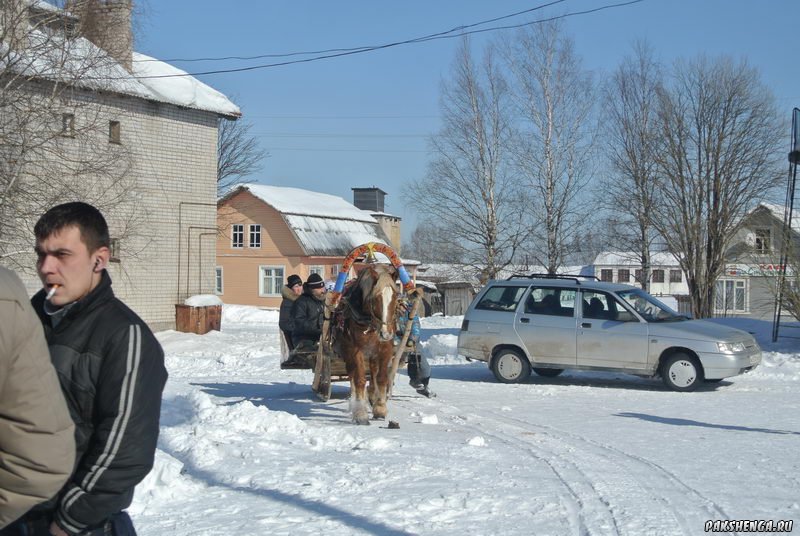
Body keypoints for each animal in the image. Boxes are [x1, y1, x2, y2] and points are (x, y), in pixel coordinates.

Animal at [332, 262, 396, 422]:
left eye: (395, 296)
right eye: (376, 298)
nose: (386, 333)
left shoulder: (386, 348)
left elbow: (381, 378)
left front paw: (380, 408)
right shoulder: (356, 351)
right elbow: (359, 379)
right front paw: (360, 412)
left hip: (373, 353)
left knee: (372, 371)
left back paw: (372, 395)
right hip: (347, 351)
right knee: (351, 374)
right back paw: (354, 403)